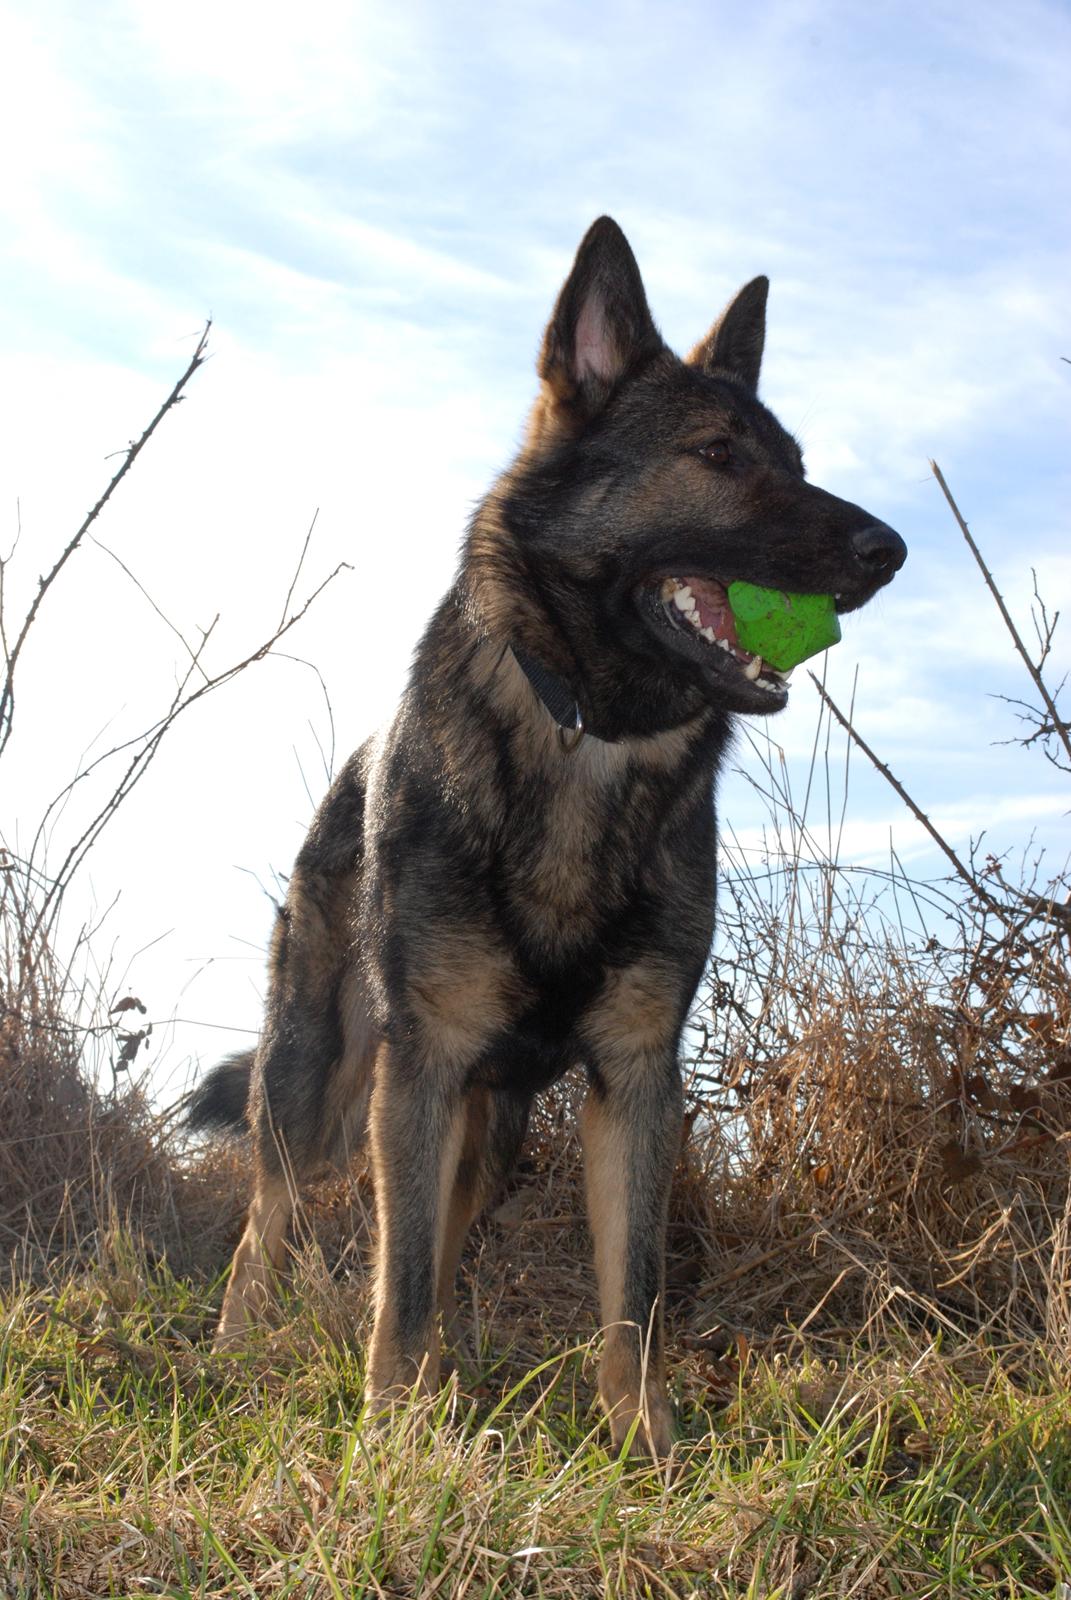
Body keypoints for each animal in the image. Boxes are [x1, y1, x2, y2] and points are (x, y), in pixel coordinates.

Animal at [189, 219, 902, 1459]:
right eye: (717, 454)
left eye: (798, 458)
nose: (891, 548)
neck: (590, 742)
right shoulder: (424, 1062)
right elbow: (398, 1283)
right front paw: (388, 1436)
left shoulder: (635, 1077)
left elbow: (636, 1289)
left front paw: (646, 1442)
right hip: (319, 1080)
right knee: (274, 1214)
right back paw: (246, 1350)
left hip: (493, 1125)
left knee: (438, 1233)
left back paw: (442, 1379)